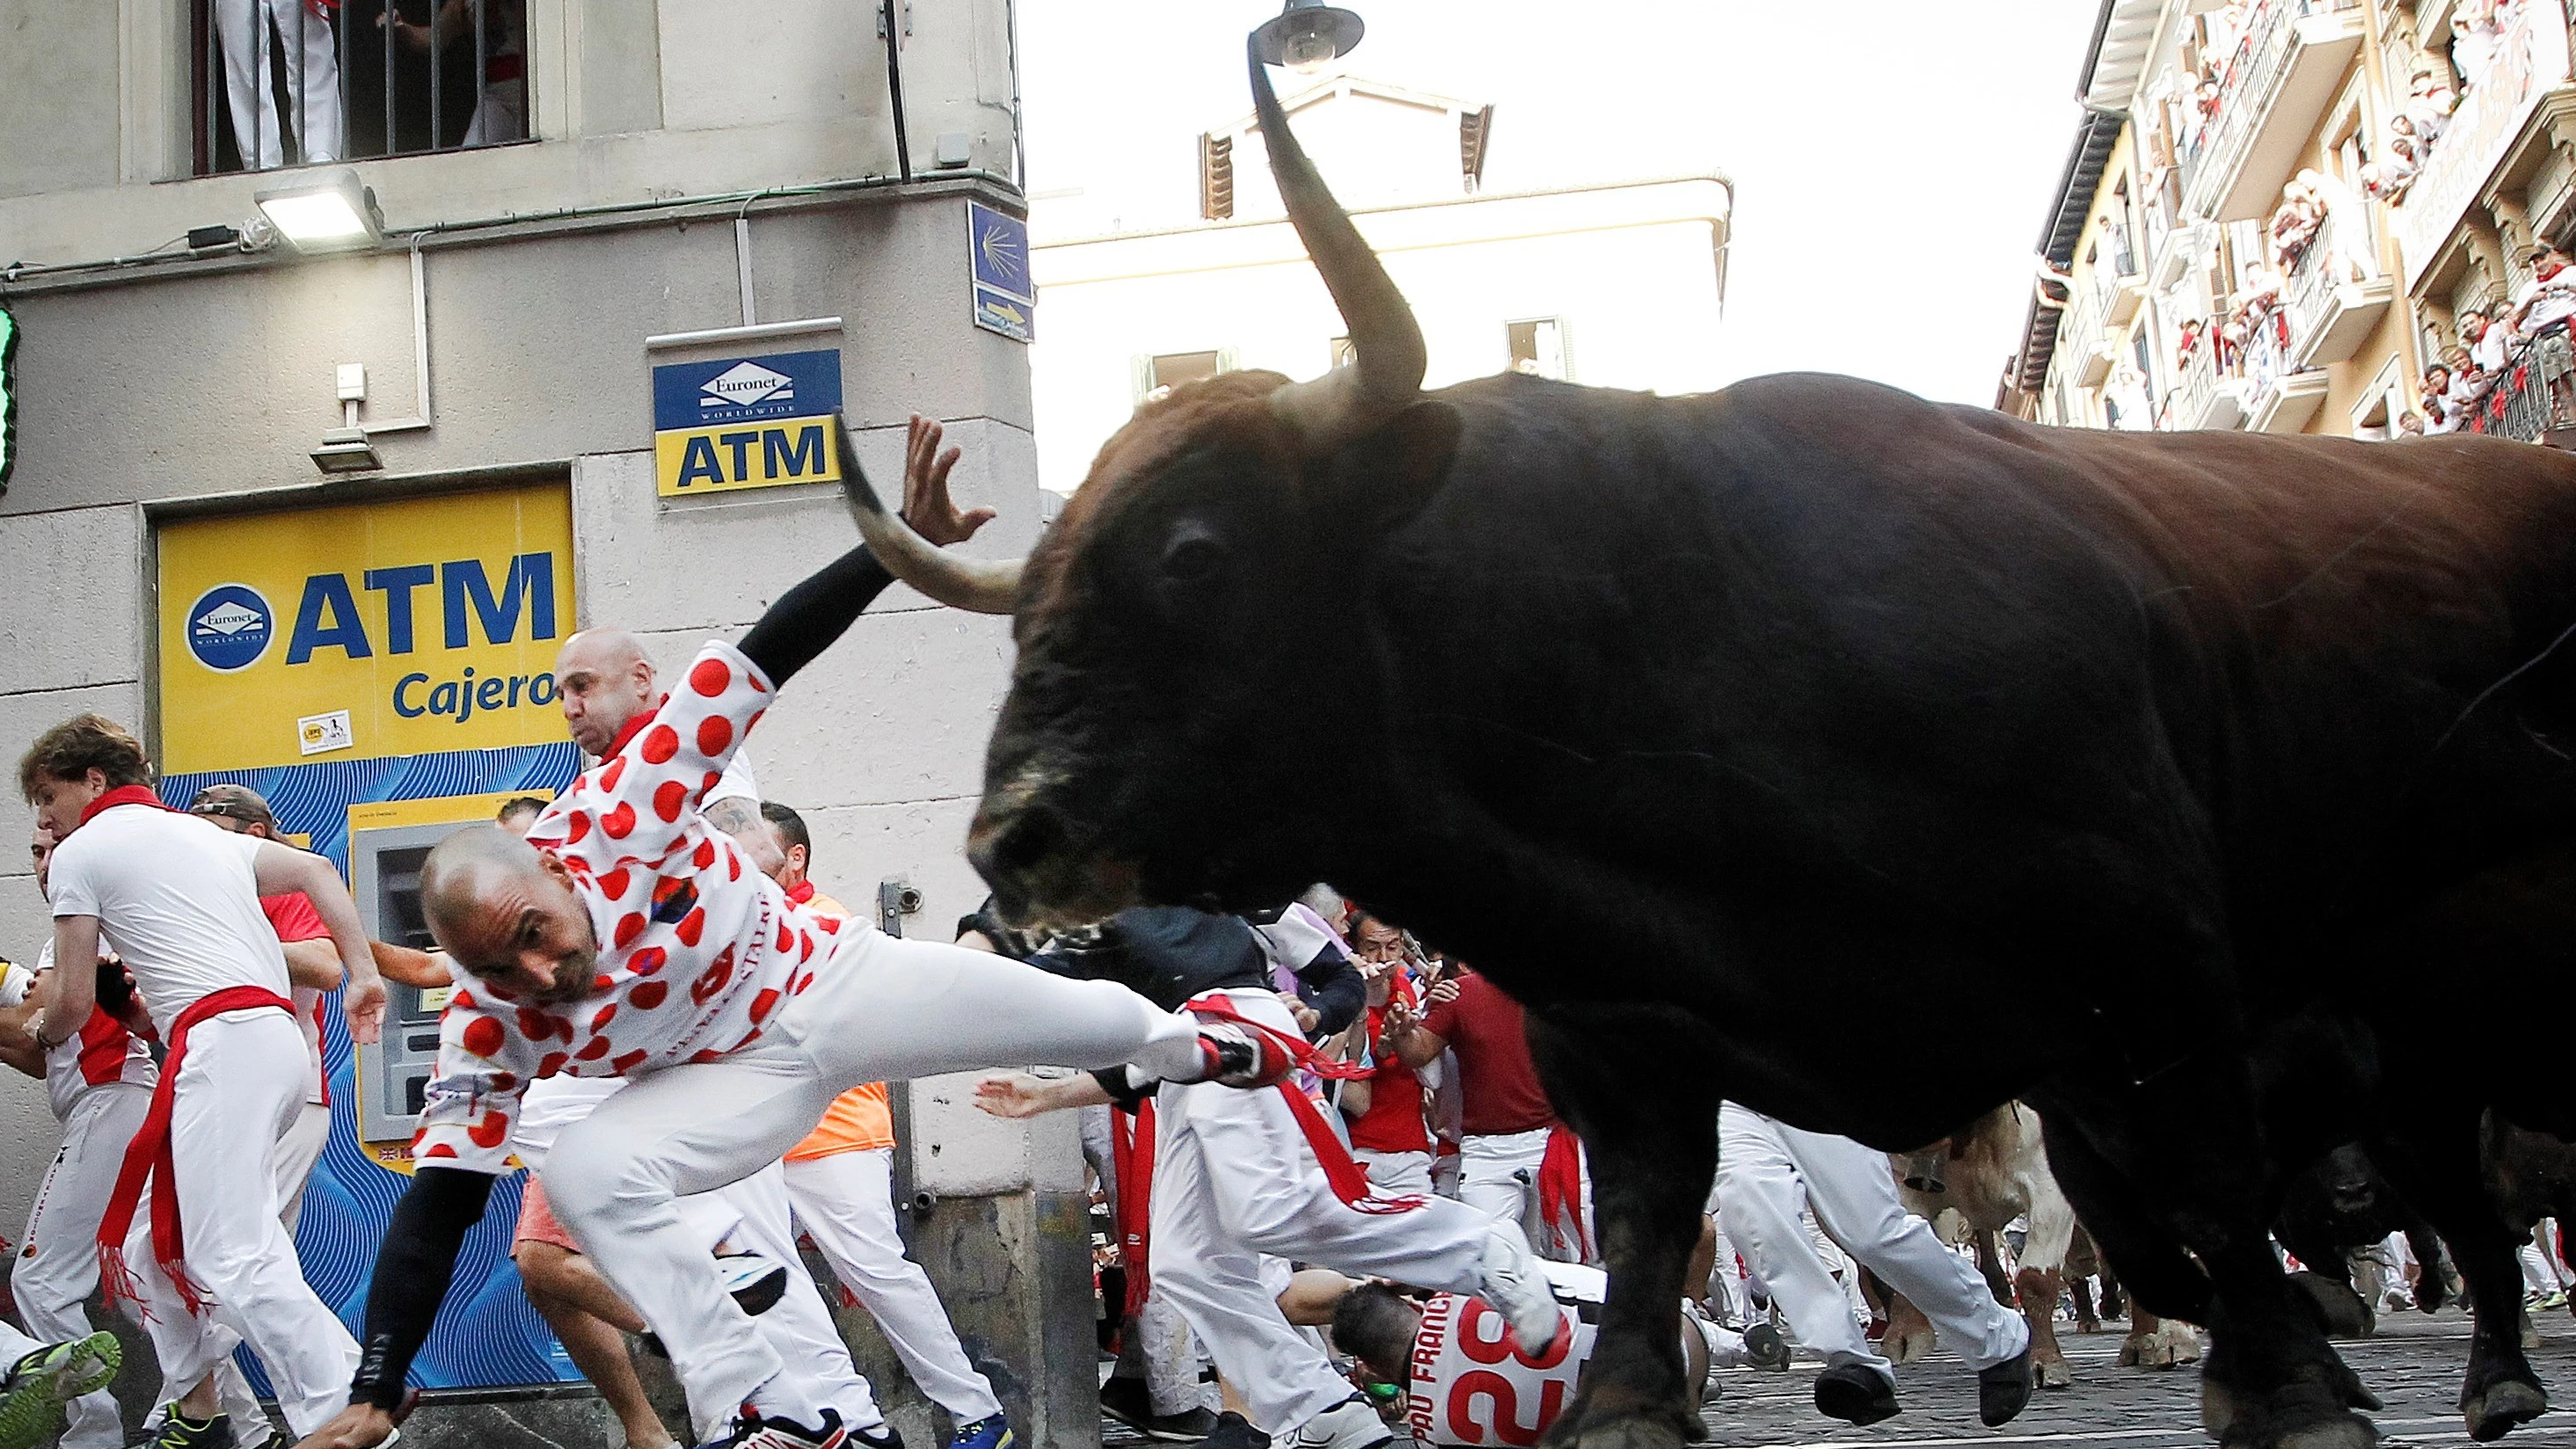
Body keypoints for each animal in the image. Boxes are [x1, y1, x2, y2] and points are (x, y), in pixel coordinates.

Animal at [834, 19, 2576, 1449]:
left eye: (1195, 553)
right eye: (1027, 598)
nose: (1010, 837)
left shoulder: (2147, 979)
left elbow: (2183, 1200)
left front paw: (2283, 1394)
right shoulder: (1626, 1033)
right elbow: (1654, 1229)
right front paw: (1627, 1400)